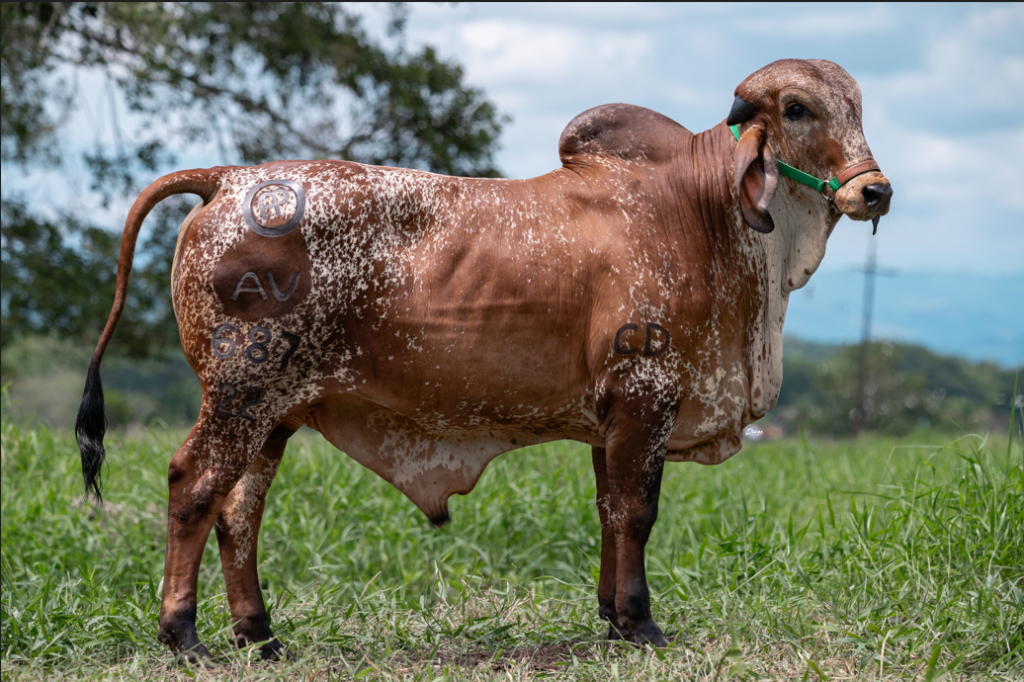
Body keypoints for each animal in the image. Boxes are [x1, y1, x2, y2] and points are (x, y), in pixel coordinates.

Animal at [75, 59, 892, 659]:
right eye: (798, 109)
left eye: (857, 107)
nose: (875, 191)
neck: (705, 214)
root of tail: (229, 178)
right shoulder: (645, 397)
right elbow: (637, 513)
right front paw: (640, 624)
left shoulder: (610, 421)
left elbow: (608, 514)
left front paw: (610, 619)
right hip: (240, 395)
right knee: (192, 488)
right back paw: (183, 635)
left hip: (274, 415)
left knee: (238, 511)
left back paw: (260, 635)